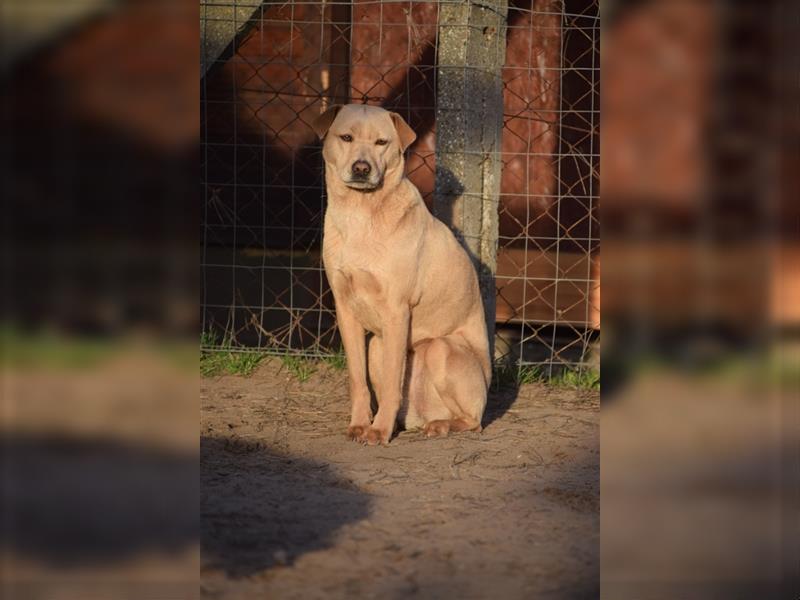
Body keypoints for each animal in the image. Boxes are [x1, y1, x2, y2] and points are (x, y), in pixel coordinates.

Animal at [314, 103, 490, 442]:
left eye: (382, 142)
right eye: (346, 137)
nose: (361, 168)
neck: (360, 213)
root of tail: (420, 416)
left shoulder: (396, 310)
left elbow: (392, 386)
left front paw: (378, 432)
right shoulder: (346, 309)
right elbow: (357, 381)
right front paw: (360, 425)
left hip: (439, 349)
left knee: (473, 421)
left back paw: (439, 425)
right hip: (376, 345)